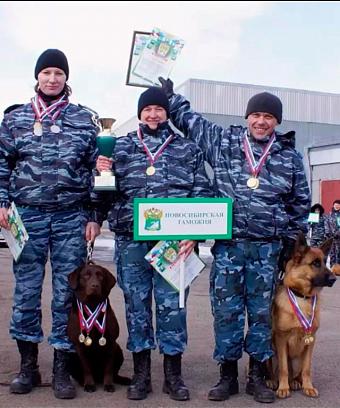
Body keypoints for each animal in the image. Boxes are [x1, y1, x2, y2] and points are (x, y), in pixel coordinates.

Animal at [67, 262, 129, 392]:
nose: (95, 286)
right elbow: (86, 368)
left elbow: (109, 368)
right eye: (86, 275)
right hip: (71, 355)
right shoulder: (79, 345)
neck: (92, 304)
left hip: (118, 349)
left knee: (115, 373)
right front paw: (89, 384)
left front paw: (108, 384)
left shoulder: (111, 342)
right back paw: (83, 382)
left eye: (100, 276)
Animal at [268, 233, 338, 398]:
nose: (334, 279)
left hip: (298, 357)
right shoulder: (281, 339)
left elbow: (307, 369)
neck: (302, 298)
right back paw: (272, 381)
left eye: (325, 262)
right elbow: (284, 368)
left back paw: (295, 382)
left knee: (297, 373)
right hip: (270, 349)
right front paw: (283, 388)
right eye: (315, 263)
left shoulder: (311, 340)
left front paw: (308, 387)